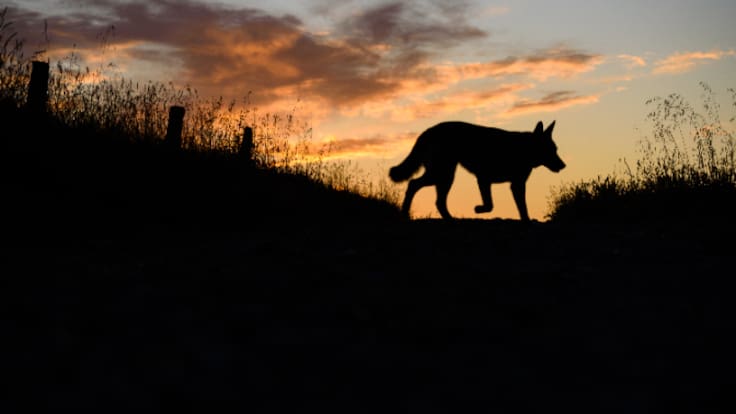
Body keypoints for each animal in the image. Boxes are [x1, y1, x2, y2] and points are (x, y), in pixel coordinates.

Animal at [389, 120, 565, 221]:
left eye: (555, 149)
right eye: (550, 150)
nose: (563, 165)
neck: (523, 149)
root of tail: (428, 131)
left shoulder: (516, 185)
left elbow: (522, 207)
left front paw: (526, 220)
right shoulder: (484, 179)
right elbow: (490, 205)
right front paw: (478, 209)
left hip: (444, 176)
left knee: (438, 201)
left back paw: (449, 219)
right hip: (442, 174)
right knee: (413, 184)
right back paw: (405, 213)